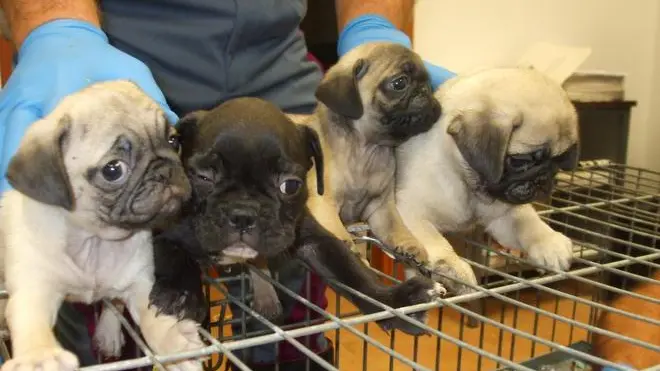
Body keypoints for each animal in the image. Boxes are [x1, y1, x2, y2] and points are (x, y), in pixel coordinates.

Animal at [0, 80, 204, 371]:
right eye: (113, 170)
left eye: (173, 141)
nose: (165, 170)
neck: (94, 239)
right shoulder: (36, 287)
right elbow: (33, 324)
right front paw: (39, 357)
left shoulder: (140, 283)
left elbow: (153, 318)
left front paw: (174, 342)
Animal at [394, 67, 580, 294]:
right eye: (520, 161)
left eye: (557, 162)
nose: (543, 179)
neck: (470, 187)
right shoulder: (410, 211)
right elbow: (434, 240)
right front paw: (453, 267)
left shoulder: (504, 215)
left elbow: (527, 221)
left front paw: (549, 241)